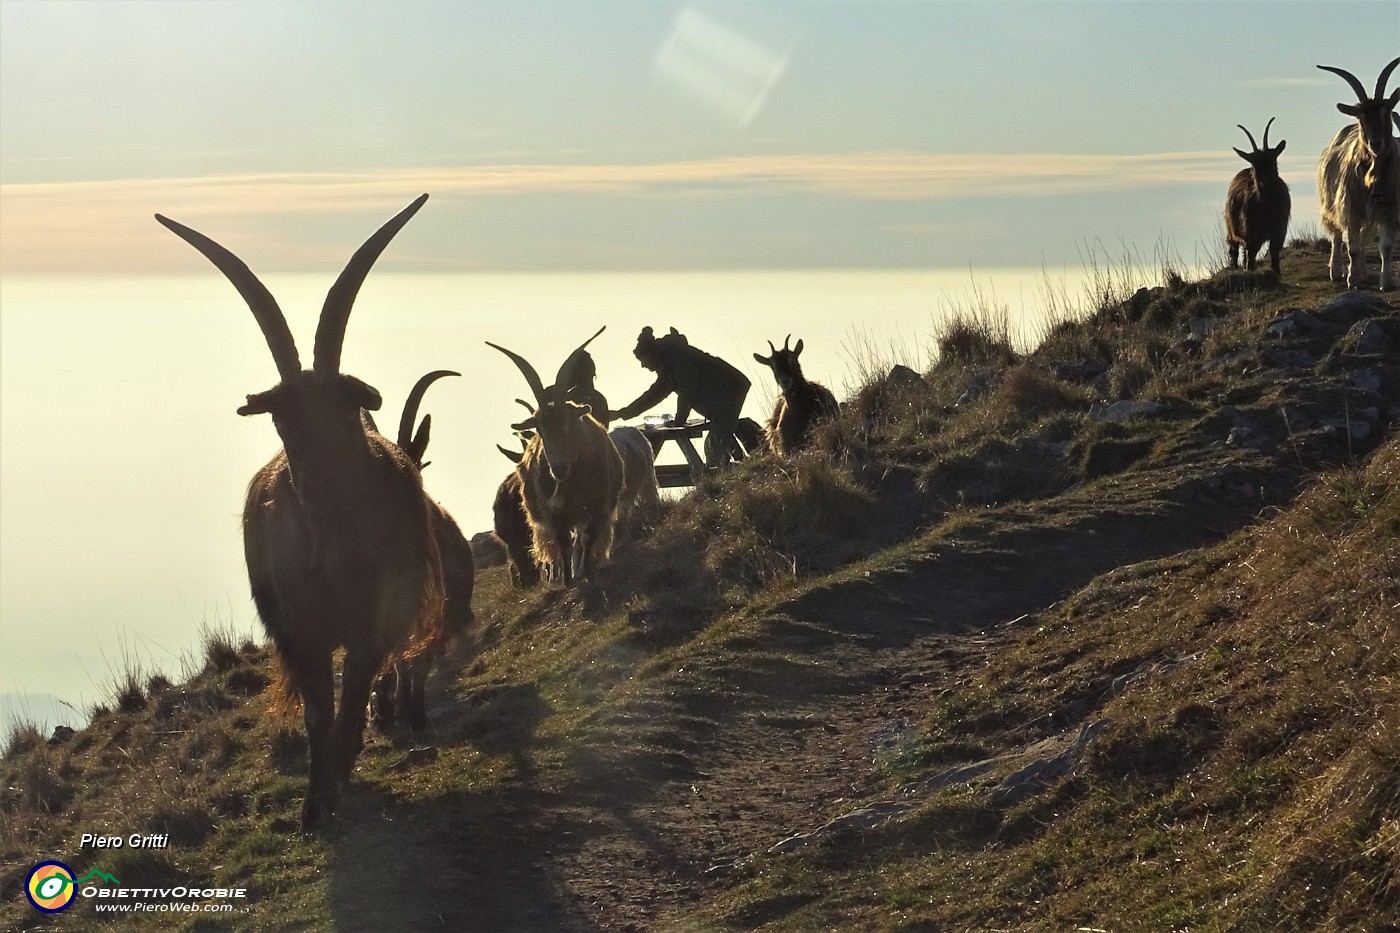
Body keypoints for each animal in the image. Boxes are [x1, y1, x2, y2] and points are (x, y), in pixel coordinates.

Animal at [154, 196, 439, 829]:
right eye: (283, 420)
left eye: (343, 409)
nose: (314, 486)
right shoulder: (301, 628)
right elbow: (316, 712)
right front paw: (314, 803)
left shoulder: (370, 624)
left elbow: (352, 699)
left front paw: (337, 776)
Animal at [492, 332, 624, 582]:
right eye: (539, 428)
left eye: (569, 422)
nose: (559, 468)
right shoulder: (553, 513)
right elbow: (562, 542)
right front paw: (567, 580)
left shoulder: (597, 506)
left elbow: (587, 538)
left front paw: (585, 572)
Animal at [1226, 118, 1288, 274]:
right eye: (1255, 165)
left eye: (1273, 160)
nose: (1266, 181)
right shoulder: (1250, 230)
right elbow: (1251, 254)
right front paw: (1250, 270)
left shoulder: (1279, 229)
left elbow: (1274, 251)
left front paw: (1277, 273)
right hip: (1231, 227)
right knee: (1235, 250)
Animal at [1310, 56, 1400, 288]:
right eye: (1361, 116)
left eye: (1386, 111)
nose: (1376, 143)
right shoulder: (1351, 208)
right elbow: (1353, 248)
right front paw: (1352, 281)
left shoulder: (1388, 210)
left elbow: (1385, 248)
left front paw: (1385, 282)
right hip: (1331, 203)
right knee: (1337, 235)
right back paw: (1337, 271)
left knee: (1363, 238)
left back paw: (1363, 272)